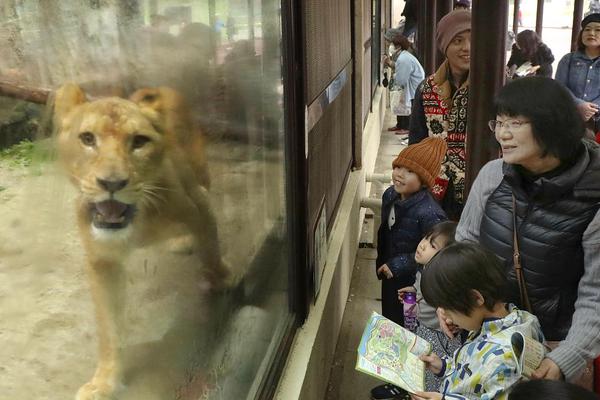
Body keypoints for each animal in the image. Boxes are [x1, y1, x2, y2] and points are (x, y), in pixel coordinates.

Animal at [52, 83, 231, 398]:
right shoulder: (102, 261)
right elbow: (109, 329)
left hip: (198, 166)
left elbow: (211, 246)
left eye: (139, 141)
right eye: (87, 138)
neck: (137, 219)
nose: (112, 183)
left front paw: (220, 280)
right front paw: (104, 382)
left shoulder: (198, 201)